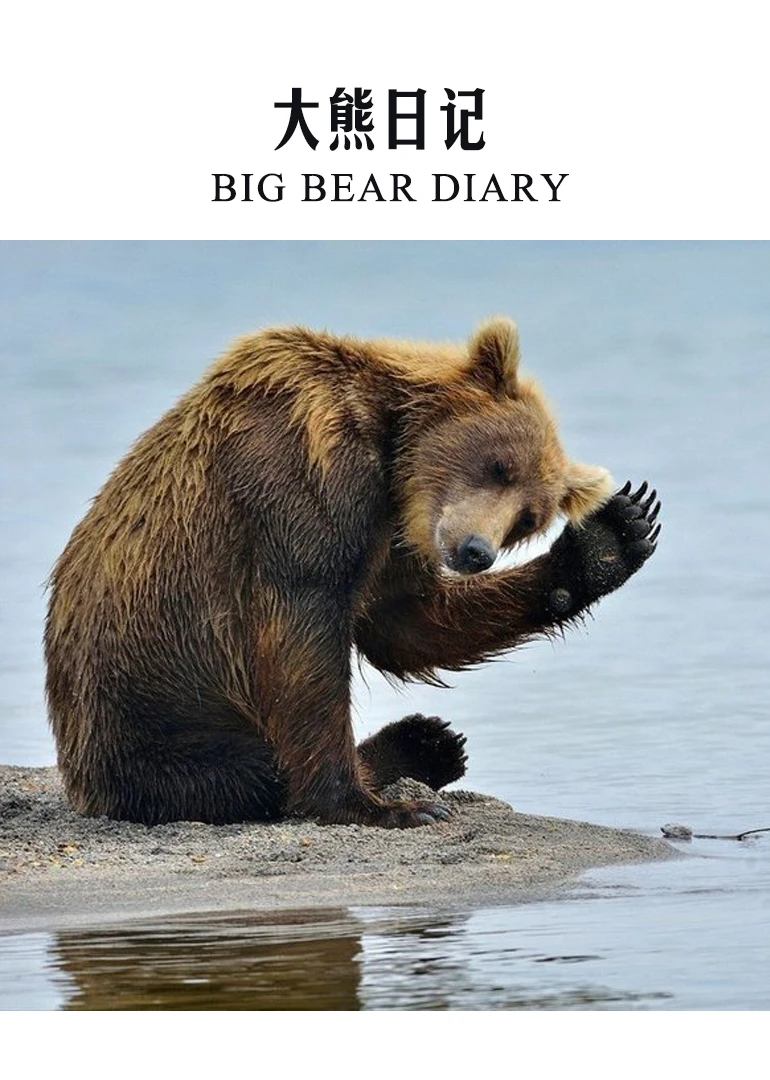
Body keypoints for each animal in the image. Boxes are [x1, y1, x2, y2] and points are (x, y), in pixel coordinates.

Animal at [44, 318, 660, 828]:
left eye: (529, 518)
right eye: (499, 466)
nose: (475, 551)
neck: (389, 449)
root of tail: (82, 781)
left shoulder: (390, 535)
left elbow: (406, 623)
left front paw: (610, 538)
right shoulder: (298, 485)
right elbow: (306, 648)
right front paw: (384, 808)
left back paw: (429, 742)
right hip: (157, 727)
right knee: (251, 775)